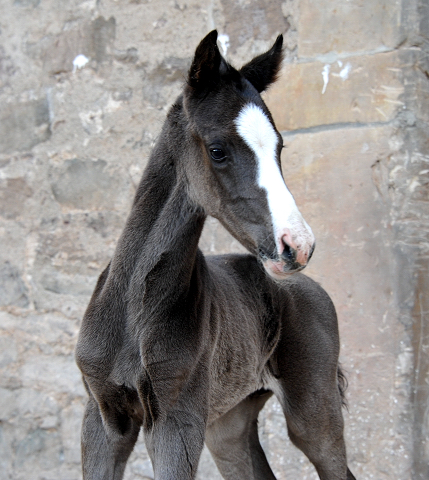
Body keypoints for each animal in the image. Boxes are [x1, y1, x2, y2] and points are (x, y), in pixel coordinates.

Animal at [75, 31, 356, 480]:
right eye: (218, 150)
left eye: (279, 147)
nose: (298, 246)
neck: (133, 308)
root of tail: (308, 287)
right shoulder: (102, 418)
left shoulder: (175, 422)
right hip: (228, 423)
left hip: (314, 410)